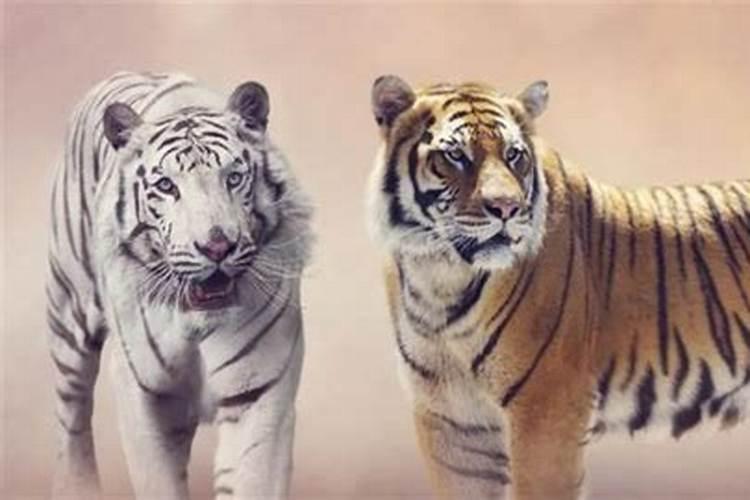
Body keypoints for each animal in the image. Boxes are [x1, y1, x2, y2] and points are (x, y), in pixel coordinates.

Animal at [46, 71, 312, 499]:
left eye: (233, 178)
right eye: (167, 186)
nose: (217, 246)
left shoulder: (259, 393)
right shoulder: (146, 396)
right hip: (69, 318)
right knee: (72, 416)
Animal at [367, 75, 750, 500]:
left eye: (514, 155)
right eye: (455, 156)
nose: (507, 208)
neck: (439, 276)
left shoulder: (546, 409)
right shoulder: (451, 421)